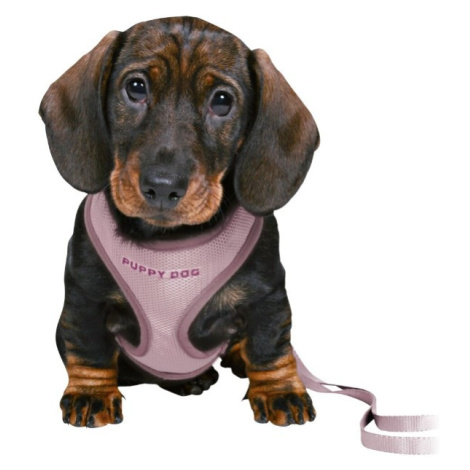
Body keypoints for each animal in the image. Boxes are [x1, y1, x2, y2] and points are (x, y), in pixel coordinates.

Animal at [40, 16, 320, 428]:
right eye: (136, 87)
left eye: (222, 100)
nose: (162, 186)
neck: (168, 240)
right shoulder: (85, 295)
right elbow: (89, 347)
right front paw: (91, 393)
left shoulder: (266, 295)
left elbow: (270, 345)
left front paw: (279, 390)